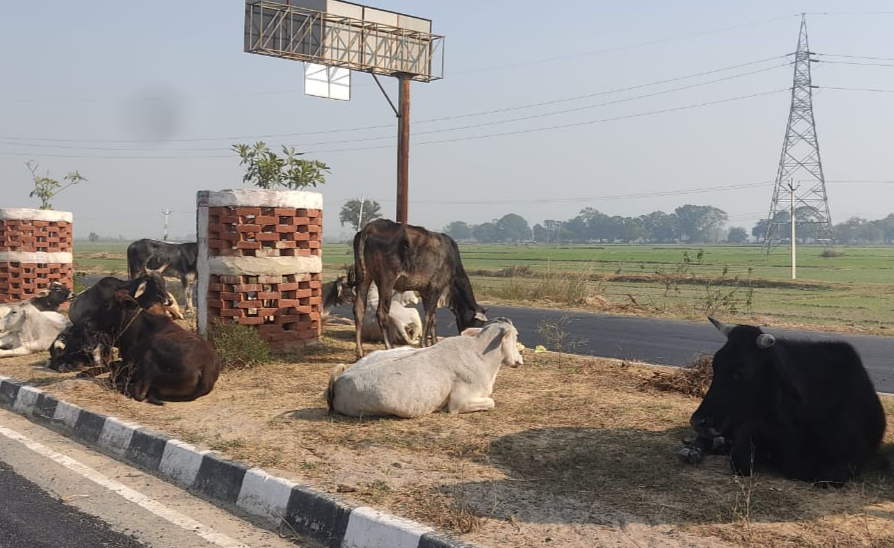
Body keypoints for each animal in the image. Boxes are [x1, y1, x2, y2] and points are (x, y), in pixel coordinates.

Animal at [78, 288, 222, 404]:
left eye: (106, 305)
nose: (87, 324)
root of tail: (207, 368)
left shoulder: (128, 361)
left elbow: (113, 368)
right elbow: (112, 364)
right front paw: (86, 372)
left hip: (150, 353)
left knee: (138, 393)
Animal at [328, 314, 524, 418]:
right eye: (516, 335)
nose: (520, 360)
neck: (482, 355)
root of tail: (340, 379)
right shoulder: (459, 403)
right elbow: (491, 402)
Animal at [352, 218, 490, 360]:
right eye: (479, 324)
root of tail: (371, 227)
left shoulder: (425, 291)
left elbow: (433, 318)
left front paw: (434, 342)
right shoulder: (436, 287)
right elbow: (428, 317)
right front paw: (424, 344)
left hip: (364, 277)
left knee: (359, 310)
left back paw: (360, 352)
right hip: (386, 280)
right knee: (382, 313)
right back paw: (389, 348)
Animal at [688, 314, 888, 486]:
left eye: (744, 371)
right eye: (715, 364)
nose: (698, 421)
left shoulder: (854, 455)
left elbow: (828, 476)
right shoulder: (748, 431)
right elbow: (740, 462)